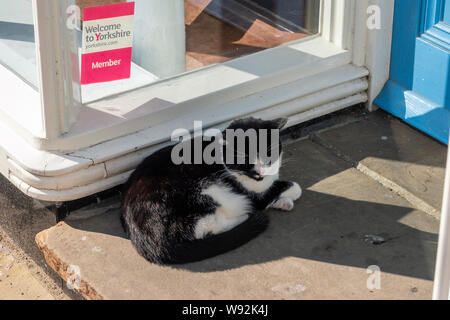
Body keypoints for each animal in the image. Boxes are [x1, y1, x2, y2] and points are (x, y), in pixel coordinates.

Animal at [119, 117, 302, 264]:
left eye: (268, 154)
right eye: (245, 159)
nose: (260, 172)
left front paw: (283, 202)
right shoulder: (251, 194)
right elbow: (288, 189)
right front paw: (286, 195)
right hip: (204, 193)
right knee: (205, 228)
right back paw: (246, 216)